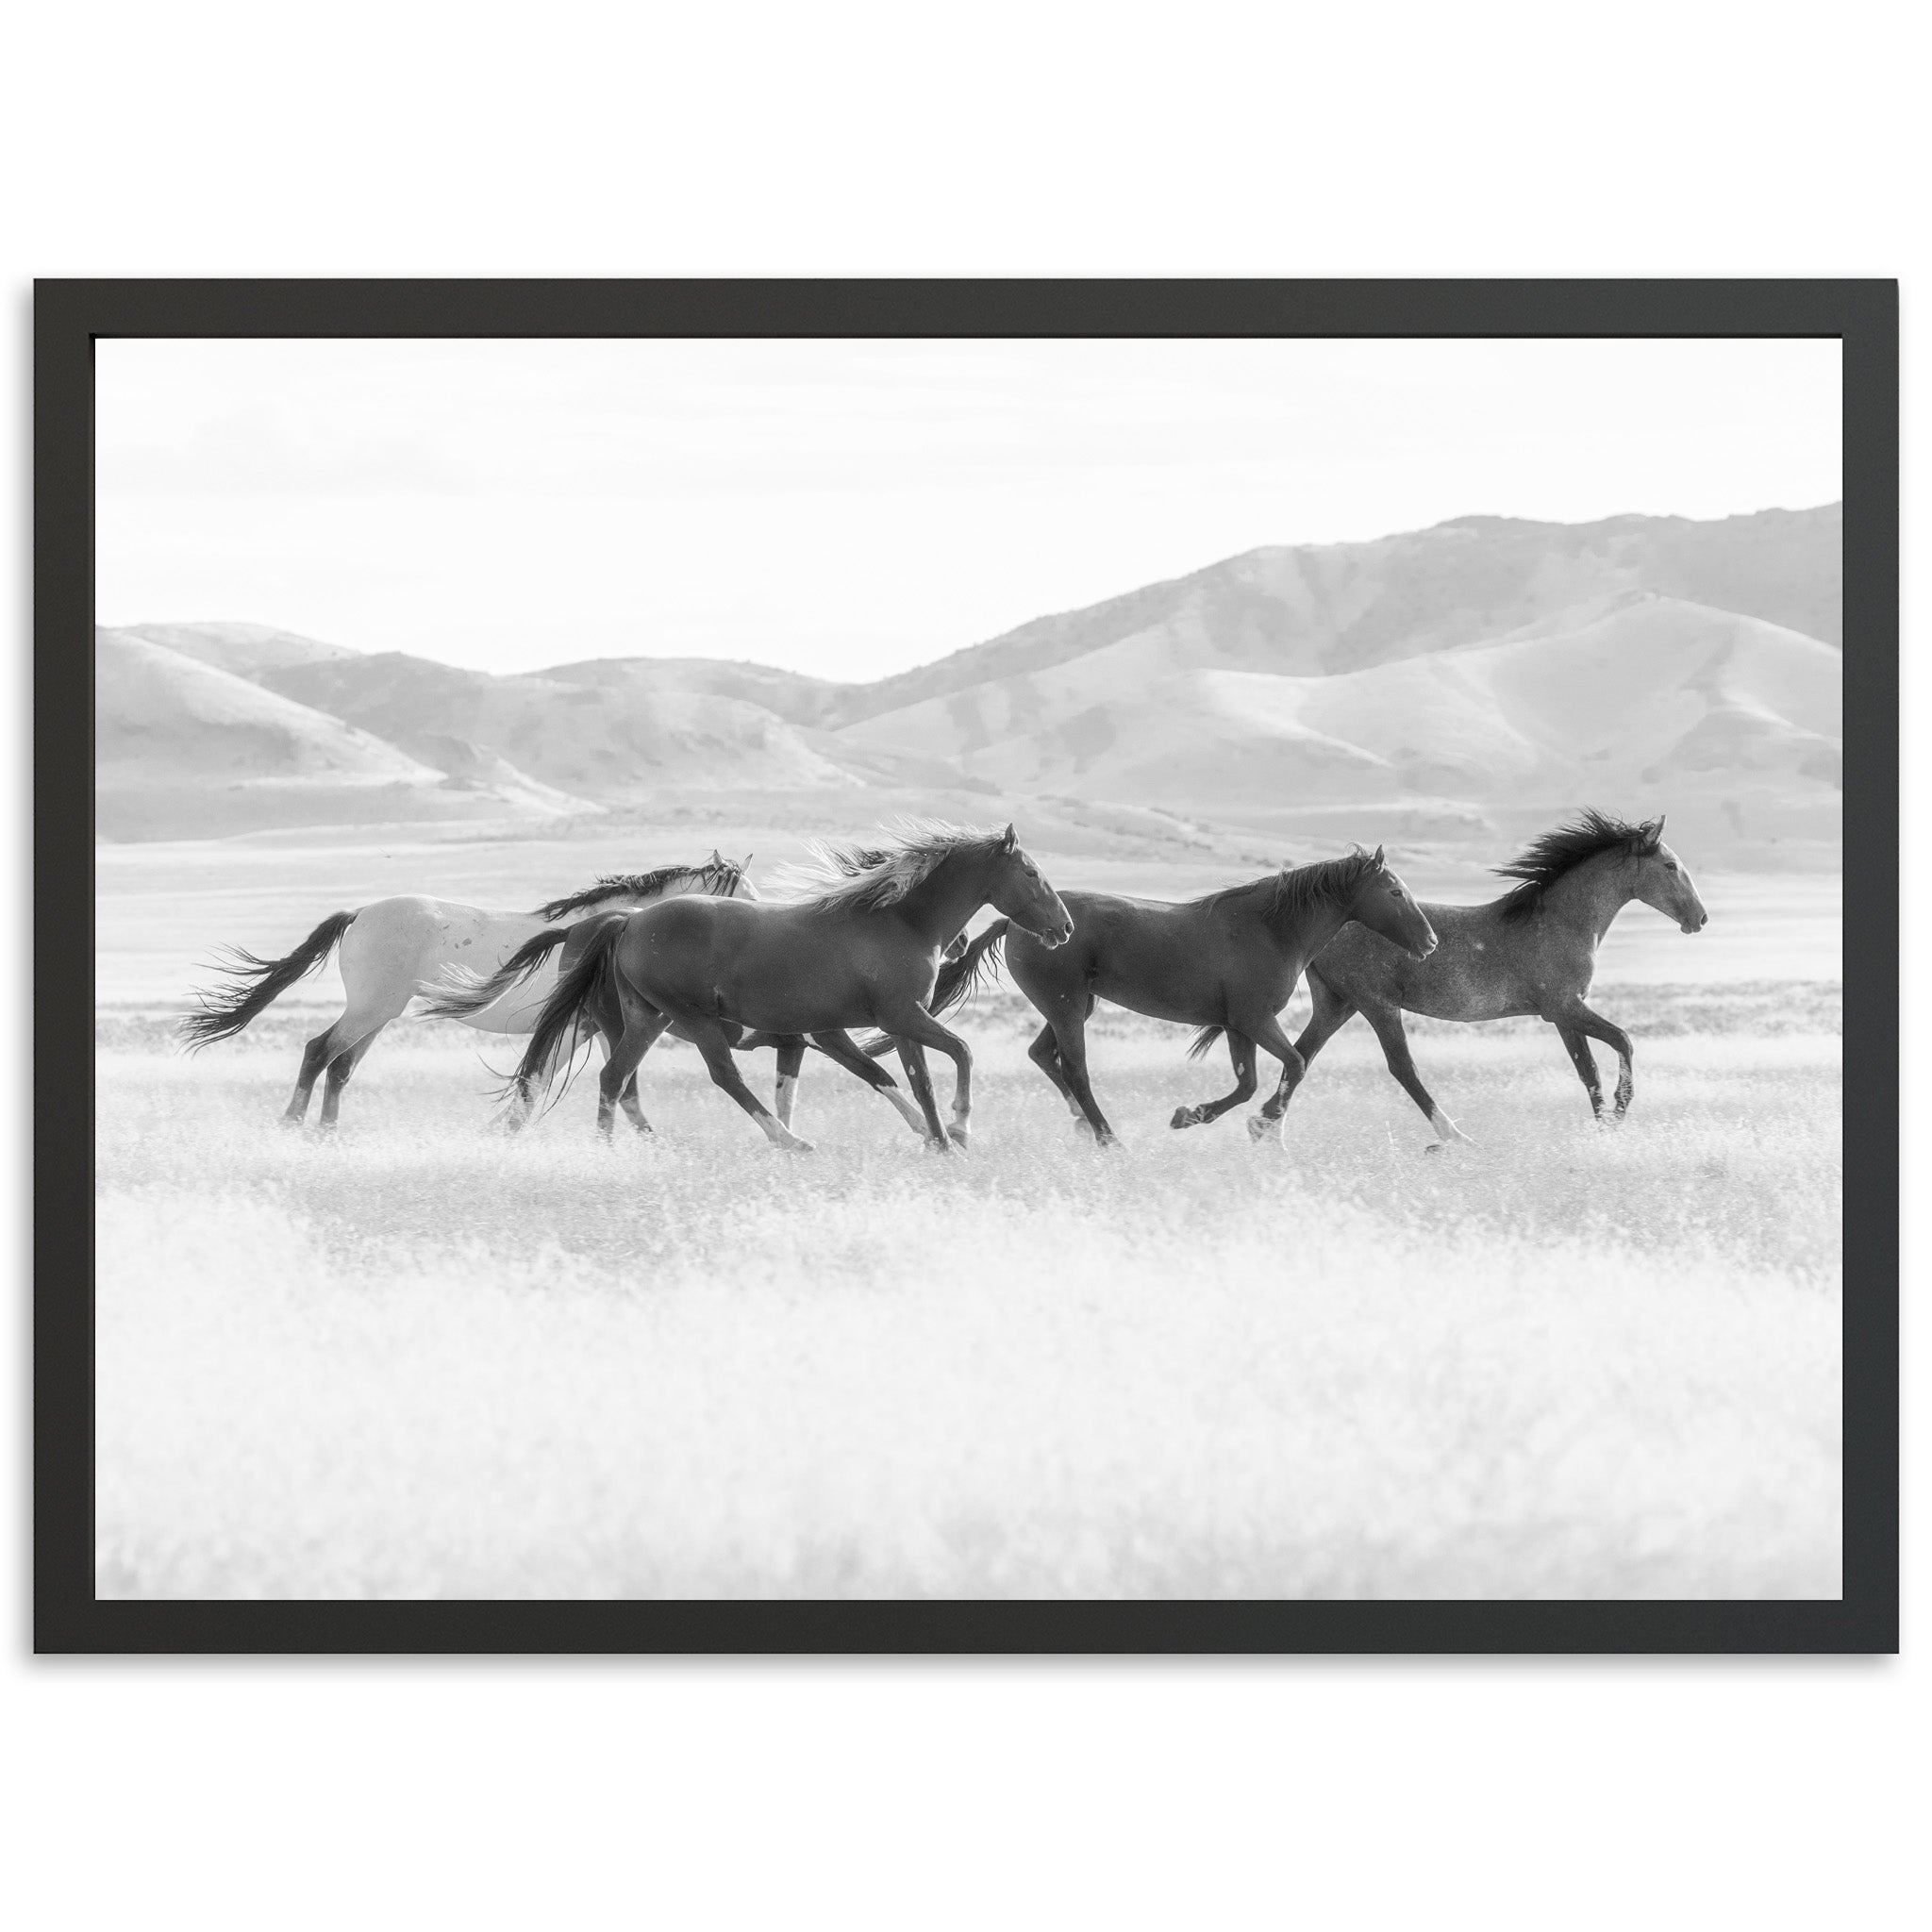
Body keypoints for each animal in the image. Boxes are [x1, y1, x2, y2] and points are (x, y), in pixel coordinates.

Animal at [498, 819, 1074, 1143]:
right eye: (1030, 873)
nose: (1065, 928)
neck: (900, 921)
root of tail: (628, 922)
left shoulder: (879, 1025)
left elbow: (910, 1080)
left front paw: (938, 1142)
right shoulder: (899, 1016)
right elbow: (961, 1053)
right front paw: (959, 1128)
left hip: (646, 1018)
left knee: (614, 1080)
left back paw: (611, 1152)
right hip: (691, 1018)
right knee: (722, 1076)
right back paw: (789, 1142)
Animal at [915, 850, 1437, 1143]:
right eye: (1394, 891)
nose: (1430, 942)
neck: (1271, 929)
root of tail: (1018, 923)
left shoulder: (1237, 1025)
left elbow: (1248, 1084)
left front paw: (1191, 1116)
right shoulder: (1256, 1019)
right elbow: (1295, 1065)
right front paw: (1252, 1123)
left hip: (1075, 1006)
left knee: (1042, 1055)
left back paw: (1085, 1128)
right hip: (1067, 1008)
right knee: (1075, 1070)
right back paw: (1108, 1139)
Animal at [1282, 803, 1707, 1143]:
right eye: (1670, 866)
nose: (1700, 918)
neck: (1563, 922)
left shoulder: (1564, 1015)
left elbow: (1588, 1073)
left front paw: (1602, 1128)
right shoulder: (1564, 1007)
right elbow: (1623, 1041)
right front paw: (1618, 1115)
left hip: (1338, 1004)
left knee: (1300, 1058)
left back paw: (1270, 1133)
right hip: (1377, 1005)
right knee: (1403, 1068)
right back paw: (1454, 1139)